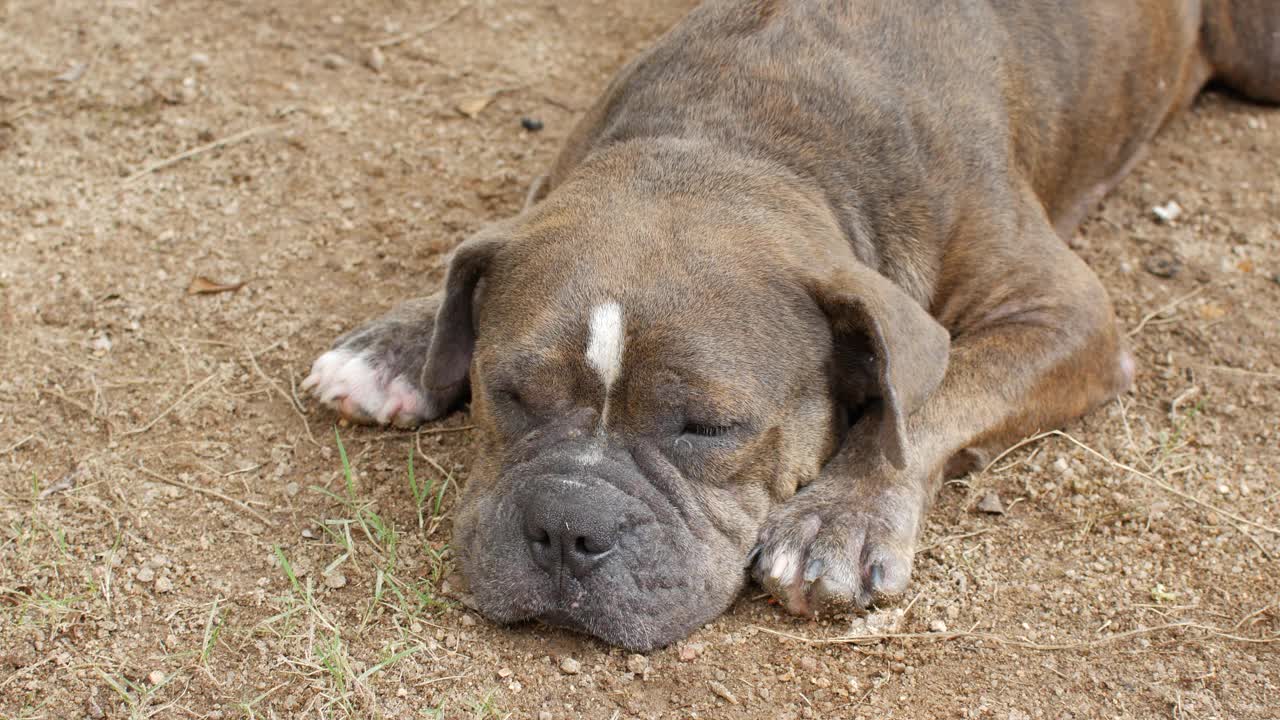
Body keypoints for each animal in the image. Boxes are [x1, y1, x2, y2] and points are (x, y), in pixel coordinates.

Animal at [302, 0, 1280, 648]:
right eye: (508, 392)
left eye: (709, 427)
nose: (567, 527)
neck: (738, 134)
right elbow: (473, 251)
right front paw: (398, 345)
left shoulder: (1063, 311)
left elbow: (932, 399)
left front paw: (839, 519)